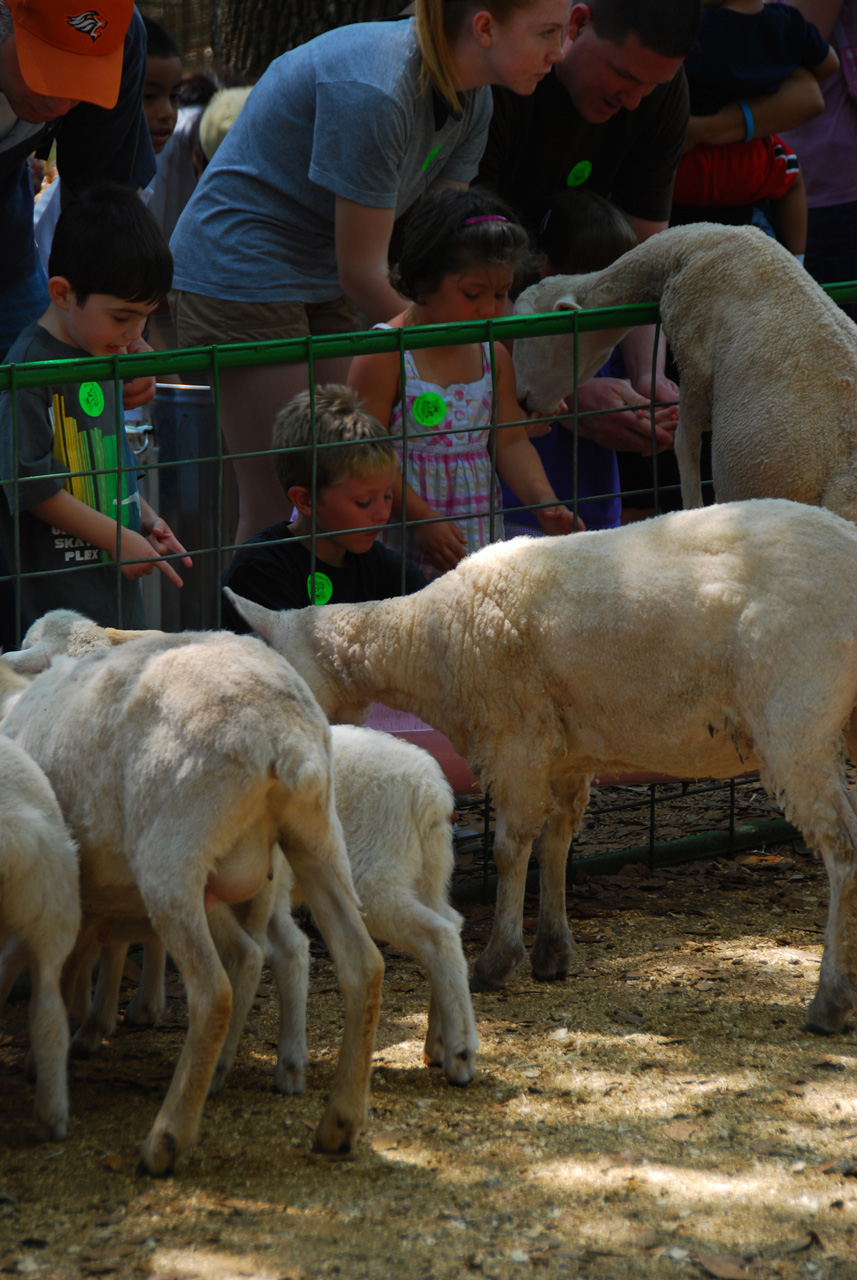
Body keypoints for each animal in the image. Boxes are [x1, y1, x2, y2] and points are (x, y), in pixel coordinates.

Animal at [0, 629, 386, 1172]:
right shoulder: (84, 898)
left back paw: (166, 1138)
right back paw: (340, 1122)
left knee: (214, 992)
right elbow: (71, 968)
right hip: (317, 837)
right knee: (361, 965)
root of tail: (284, 734)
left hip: (173, 859)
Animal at [226, 494, 857, 1034]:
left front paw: (498, 959)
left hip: (796, 711)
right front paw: (553, 951)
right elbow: (557, 843)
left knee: (842, 846)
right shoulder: (567, 751)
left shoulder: (516, 737)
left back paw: (830, 999)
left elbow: (510, 849)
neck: (424, 642)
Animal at [514, 226, 857, 519]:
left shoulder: (693, 357)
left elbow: (685, 444)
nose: (521, 402)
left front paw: (692, 511)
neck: (690, 246)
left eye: (529, 336)